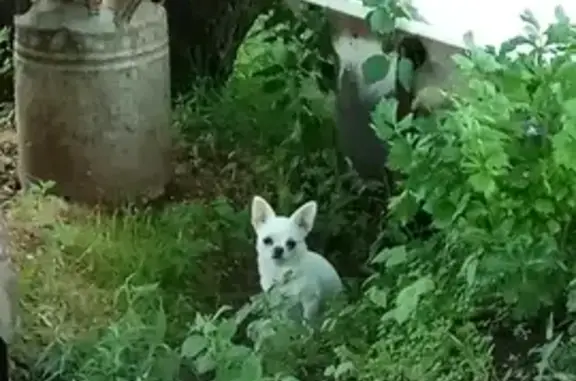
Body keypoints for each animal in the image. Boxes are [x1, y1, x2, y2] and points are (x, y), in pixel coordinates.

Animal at [251, 194, 342, 322]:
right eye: (267, 240)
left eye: (291, 243)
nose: (278, 249)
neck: (282, 272)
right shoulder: (278, 304)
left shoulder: (310, 301)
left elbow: (307, 321)